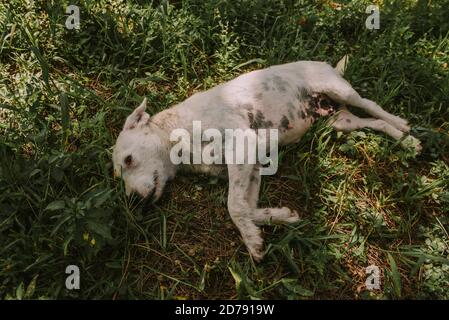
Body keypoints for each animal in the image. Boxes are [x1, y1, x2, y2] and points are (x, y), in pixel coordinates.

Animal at [112, 58, 420, 262]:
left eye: (128, 159)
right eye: (118, 174)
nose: (133, 201)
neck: (177, 133)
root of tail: (328, 64)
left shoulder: (242, 147)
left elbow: (234, 207)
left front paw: (251, 241)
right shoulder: (252, 167)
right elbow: (248, 208)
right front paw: (280, 217)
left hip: (341, 90)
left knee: (373, 106)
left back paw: (404, 128)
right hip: (340, 121)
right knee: (373, 122)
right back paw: (403, 139)